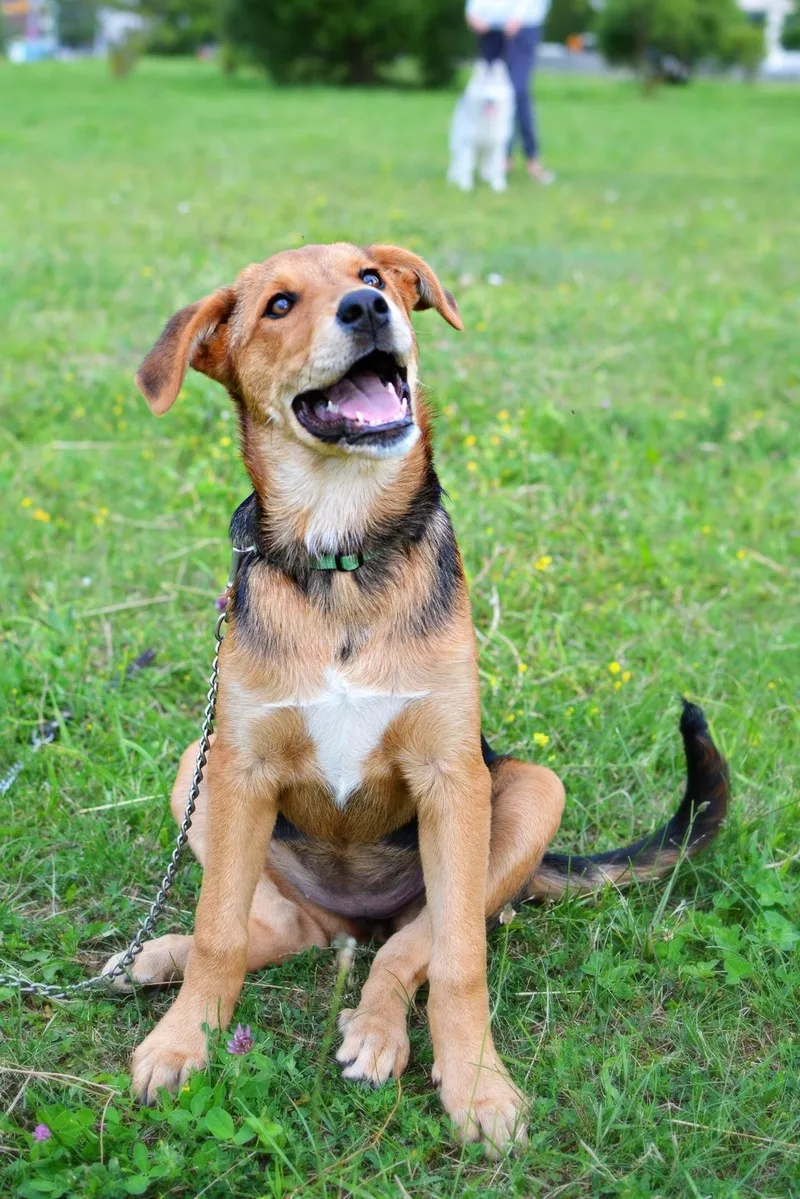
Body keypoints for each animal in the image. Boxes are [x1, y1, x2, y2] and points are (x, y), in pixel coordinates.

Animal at [103, 243, 729, 1151]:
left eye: (371, 274)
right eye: (280, 303)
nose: (369, 309)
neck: (343, 550)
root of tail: (353, 919)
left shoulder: (452, 777)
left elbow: (460, 961)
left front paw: (477, 1084)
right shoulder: (240, 767)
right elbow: (224, 930)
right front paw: (185, 1039)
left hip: (526, 793)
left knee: (413, 944)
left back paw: (374, 1030)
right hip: (200, 762)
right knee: (284, 925)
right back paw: (161, 955)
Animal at [450, 58, 513, 193]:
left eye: (494, 87)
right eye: (483, 88)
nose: (489, 100)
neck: (487, 120)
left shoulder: (497, 145)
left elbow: (496, 167)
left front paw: (498, 185)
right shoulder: (469, 144)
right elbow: (466, 166)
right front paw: (466, 185)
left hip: (486, 149)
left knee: (486, 162)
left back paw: (486, 177)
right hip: (458, 143)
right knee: (457, 162)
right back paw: (454, 178)